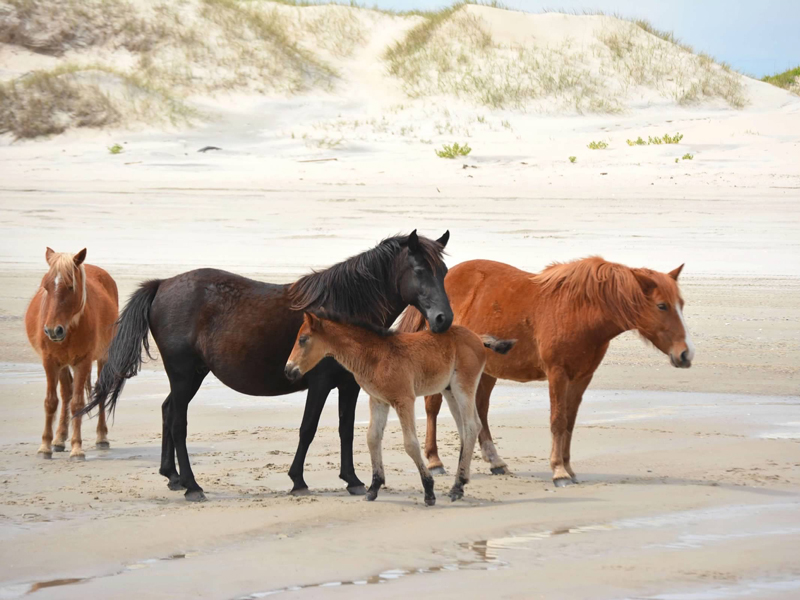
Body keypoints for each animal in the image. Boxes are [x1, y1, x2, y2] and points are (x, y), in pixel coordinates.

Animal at [25, 248, 119, 460]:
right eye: (46, 286)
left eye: (70, 287)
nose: (52, 330)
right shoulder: (50, 361)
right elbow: (51, 402)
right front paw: (45, 446)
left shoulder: (83, 362)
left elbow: (77, 404)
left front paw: (77, 448)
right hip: (61, 363)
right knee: (66, 392)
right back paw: (59, 439)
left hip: (103, 357)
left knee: (99, 391)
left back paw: (102, 437)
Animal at [79, 231, 453, 501]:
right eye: (420, 271)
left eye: (445, 272)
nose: (443, 319)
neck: (341, 309)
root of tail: (162, 285)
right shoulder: (319, 385)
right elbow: (308, 428)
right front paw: (298, 480)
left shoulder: (348, 385)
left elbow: (345, 429)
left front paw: (352, 480)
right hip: (186, 376)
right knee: (177, 421)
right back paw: (192, 485)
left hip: (189, 377)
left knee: (167, 410)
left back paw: (173, 476)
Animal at [284, 311, 515, 505]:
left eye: (303, 339)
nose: (288, 371)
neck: (375, 356)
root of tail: (477, 337)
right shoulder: (378, 400)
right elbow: (372, 438)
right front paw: (373, 488)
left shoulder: (404, 400)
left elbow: (410, 444)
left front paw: (429, 492)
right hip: (449, 390)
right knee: (466, 429)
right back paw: (460, 484)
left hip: (463, 386)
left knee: (471, 426)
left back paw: (458, 487)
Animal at [397, 256, 695, 487]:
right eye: (661, 306)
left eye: (681, 304)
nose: (686, 354)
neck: (579, 311)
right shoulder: (557, 373)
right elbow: (557, 420)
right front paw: (559, 471)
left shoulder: (582, 377)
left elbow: (570, 422)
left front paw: (569, 468)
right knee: (433, 405)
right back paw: (435, 460)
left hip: (487, 369)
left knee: (478, 409)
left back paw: (495, 461)